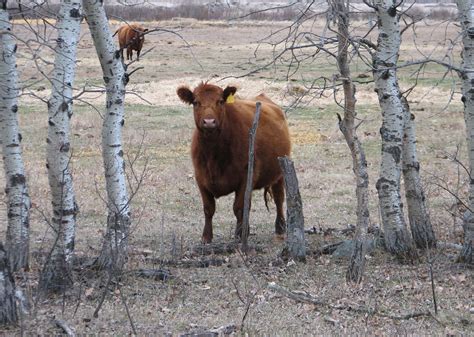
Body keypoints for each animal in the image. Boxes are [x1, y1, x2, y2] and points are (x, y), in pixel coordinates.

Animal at [176, 82, 290, 243]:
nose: (209, 122)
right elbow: (208, 208)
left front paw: (239, 235)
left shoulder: (246, 176)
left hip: (280, 171)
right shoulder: (200, 177)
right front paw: (206, 237)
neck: (213, 154)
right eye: (196, 102)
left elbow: (239, 208)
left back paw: (280, 228)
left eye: (220, 101)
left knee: (279, 198)